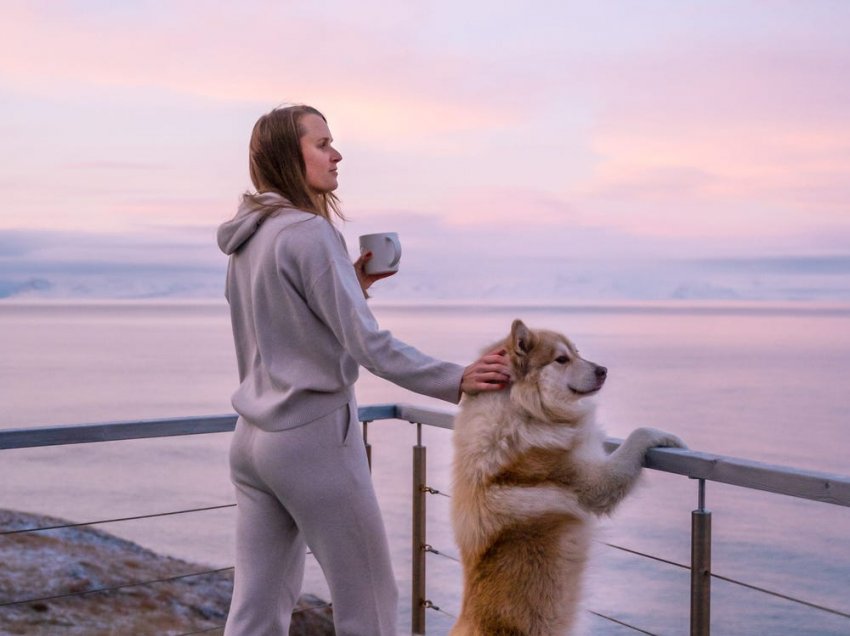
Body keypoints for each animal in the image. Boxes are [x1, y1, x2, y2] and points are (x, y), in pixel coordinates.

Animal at [450, 320, 684, 632]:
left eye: (577, 352)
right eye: (561, 360)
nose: (603, 370)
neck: (521, 409)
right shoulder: (597, 482)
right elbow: (638, 435)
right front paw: (665, 436)